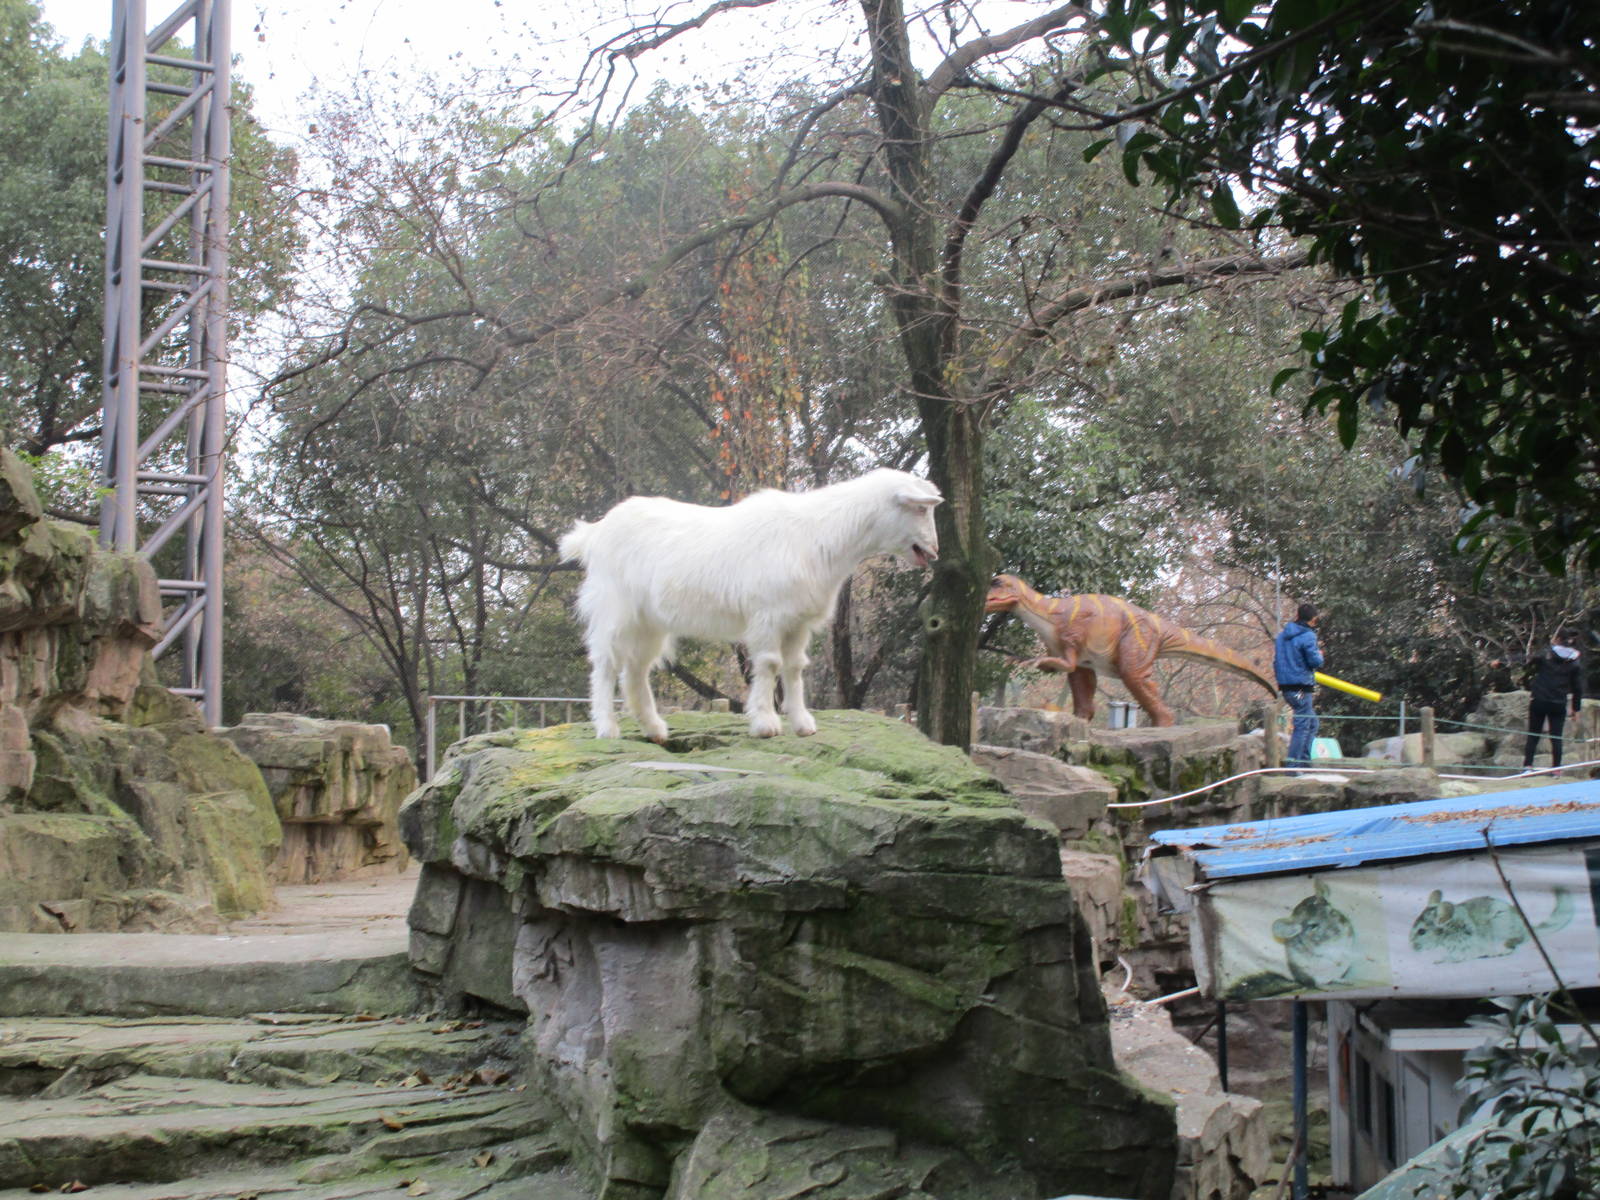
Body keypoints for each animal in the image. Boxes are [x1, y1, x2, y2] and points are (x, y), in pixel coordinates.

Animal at [558, 468, 942, 741]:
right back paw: (607, 728)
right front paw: (766, 723)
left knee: (636, 669)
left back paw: (653, 728)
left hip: (648, 621)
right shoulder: (769, 615)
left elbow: (795, 667)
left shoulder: (797, 620)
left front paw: (802, 723)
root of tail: (593, 534)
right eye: (920, 509)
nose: (934, 551)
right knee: (606, 664)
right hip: (614, 609)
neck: (818, 535)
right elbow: (770, 664)